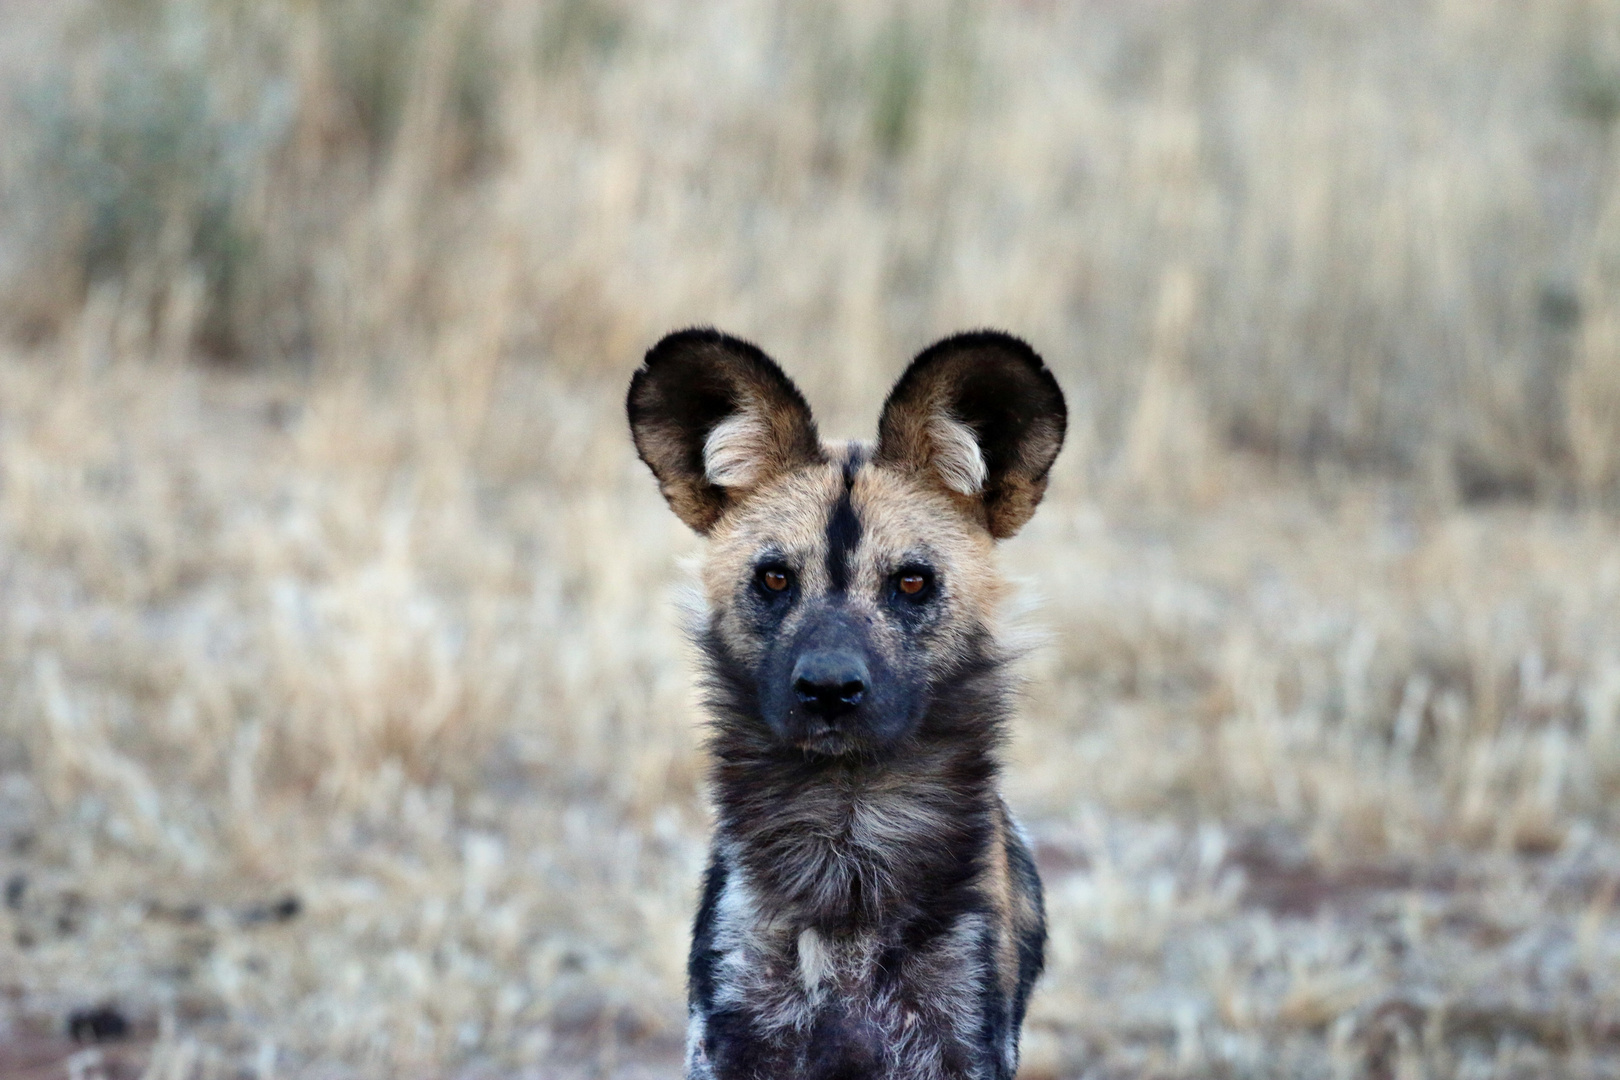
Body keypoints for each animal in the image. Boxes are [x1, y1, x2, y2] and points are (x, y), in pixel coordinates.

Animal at [622, 330, 1062, 1080]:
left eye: (911, 583)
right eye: (774, 579)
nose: (828, 688)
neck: (846, 850)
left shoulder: (959, 1048)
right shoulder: (734, 1045)